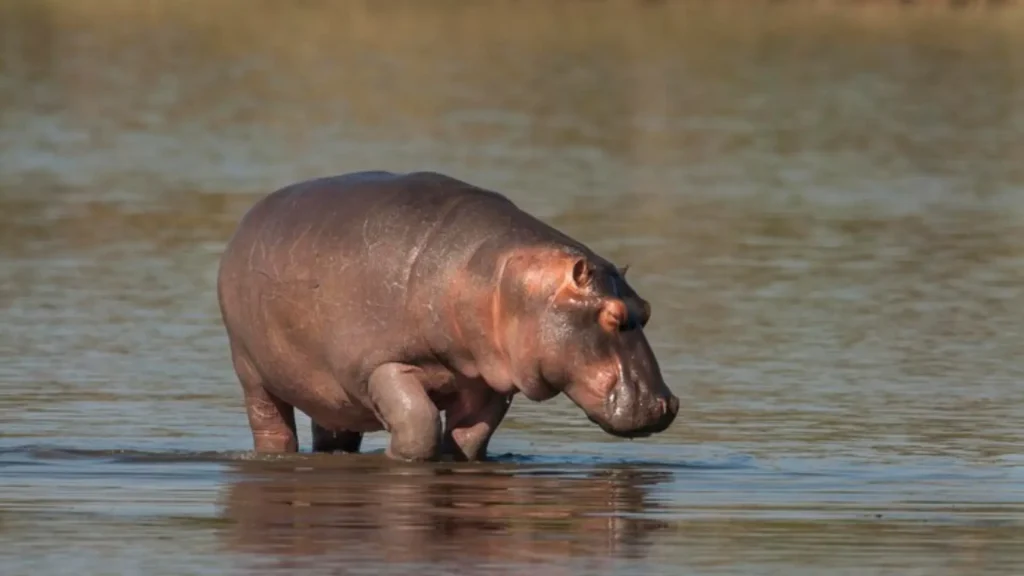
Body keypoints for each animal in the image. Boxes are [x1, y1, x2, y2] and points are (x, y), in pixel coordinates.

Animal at [216, 170, 679, 462]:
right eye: (613, 316)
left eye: (646, 310)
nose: (665, 403)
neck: (498, 280)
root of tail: (248, 220)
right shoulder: (381, 364)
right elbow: (418, 424)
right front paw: (393, 457)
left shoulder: (488, 381)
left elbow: (470, 437)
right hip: (250, 370)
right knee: (271, 426)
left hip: (327, 392)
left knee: (333, 431)